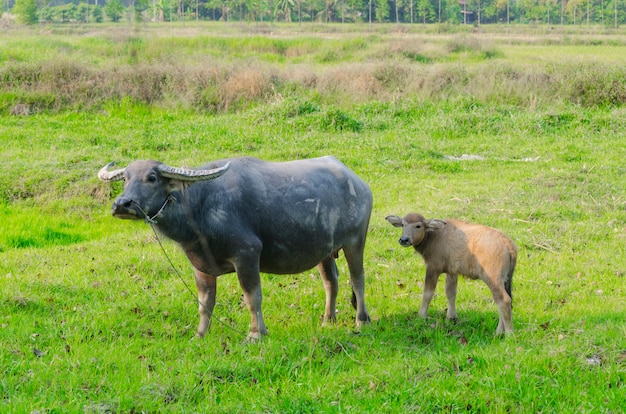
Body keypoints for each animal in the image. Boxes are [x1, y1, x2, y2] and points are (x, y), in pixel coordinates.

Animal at [97, 155, 370, 340]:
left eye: (152, 178)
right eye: (126, 179)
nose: (122, 205)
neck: (200, 207)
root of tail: (358, 183)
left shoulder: (246, 255)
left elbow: (252, 297)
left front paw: (256, 334)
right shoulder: (200, 266)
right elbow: (205, 303)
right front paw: (200, 335)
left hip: (355, 241)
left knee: (357, 279)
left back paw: (361, 321)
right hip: (325, 250)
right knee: (331, 281)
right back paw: (327, 321)